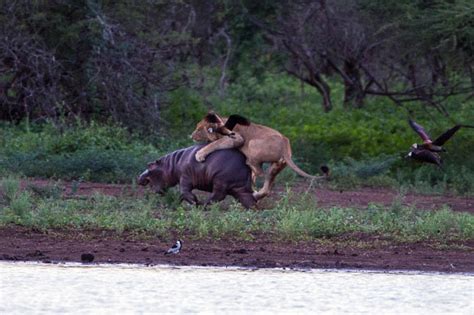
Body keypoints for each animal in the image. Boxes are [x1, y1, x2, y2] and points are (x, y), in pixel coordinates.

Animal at [191, 111, 328, 200]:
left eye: (198, 130)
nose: (191, 136)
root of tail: (285, 144)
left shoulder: (236, 139)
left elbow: (214, 144)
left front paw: (200, 154)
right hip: (276, 166)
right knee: (267, 184)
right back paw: (256, 193)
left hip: (253, 143)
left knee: (258, 171)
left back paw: (250, 172)